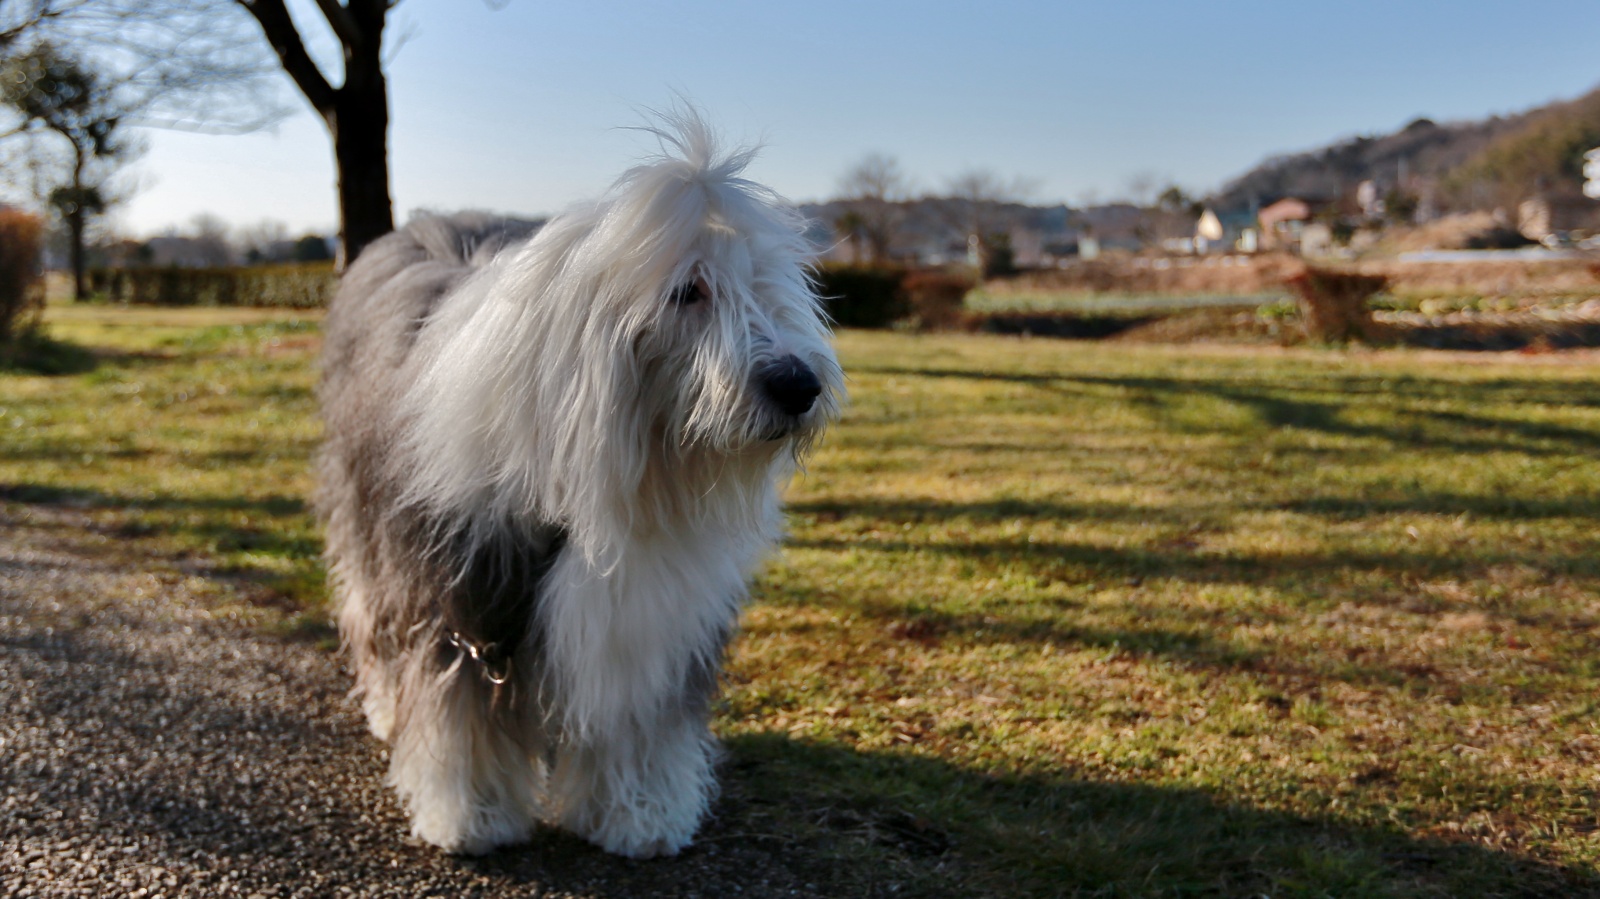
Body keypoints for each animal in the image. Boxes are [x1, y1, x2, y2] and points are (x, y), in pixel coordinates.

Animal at [316, 109, 842, 858]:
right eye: (688, 290)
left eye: (767, 283)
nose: (798, 385)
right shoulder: (463, 589)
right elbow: (460, 705)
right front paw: (472, 816)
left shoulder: (645, 619)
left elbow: (639, 718)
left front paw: (641, 815)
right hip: (369, 521)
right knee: (373, 617)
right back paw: (389, 710)